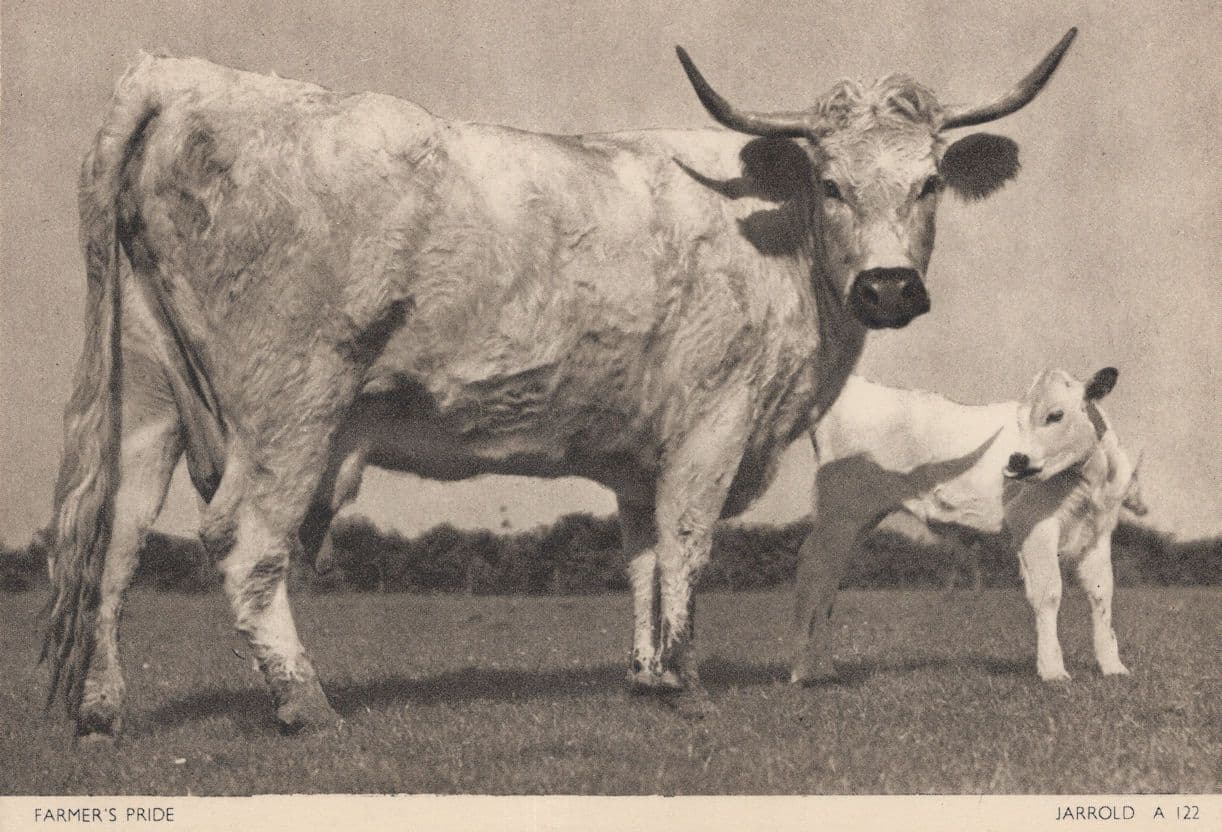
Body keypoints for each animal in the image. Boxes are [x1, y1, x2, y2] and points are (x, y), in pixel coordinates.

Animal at [43, 30, 1077, 737]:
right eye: (830, 183)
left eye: (930, 181)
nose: (890, 287)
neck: (776, 238)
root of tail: (184, 76)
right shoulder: (715, 419)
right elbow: (689, 543)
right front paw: (686, 683)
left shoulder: (640, 454)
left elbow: (643, 556)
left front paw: (646, 676)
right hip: (294, 398)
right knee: (243, 539)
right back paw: (308, 706)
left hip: (146, 399)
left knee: (117, 542)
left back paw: (102, 710)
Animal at [790, 367, 1144, 685]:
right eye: (1018, 420)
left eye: (1055, 415)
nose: (1016, 460)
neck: (1089, 481)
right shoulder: (1034, 524)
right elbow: (1049, 593)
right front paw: (1053, 671)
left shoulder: (1098, 530)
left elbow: (1102, 593)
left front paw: (1113, 666)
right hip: (840, 512)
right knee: (813, 568)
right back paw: (803, 671)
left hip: (856, 520)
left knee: (829, 579)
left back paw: (825, 668)